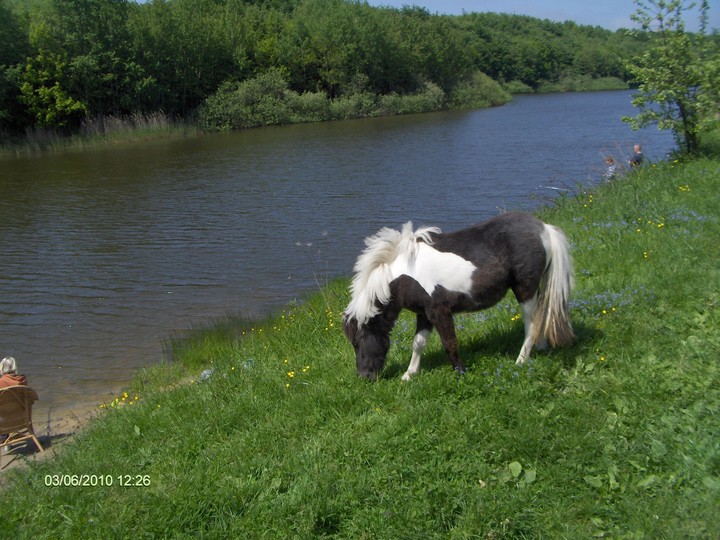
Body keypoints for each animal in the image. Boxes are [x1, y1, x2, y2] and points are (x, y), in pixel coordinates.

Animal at [344, 211, 572, 380]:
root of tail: (544, 228)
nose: (364, 376)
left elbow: (449, 343)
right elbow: (418, 342)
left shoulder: (439, 311)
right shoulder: (424, 313)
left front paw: (460, 372)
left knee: (531, 324)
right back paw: (541, 348)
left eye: (357, 341)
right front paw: (409, 374)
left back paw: (521, 360)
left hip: (525, 290)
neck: (406, 273)